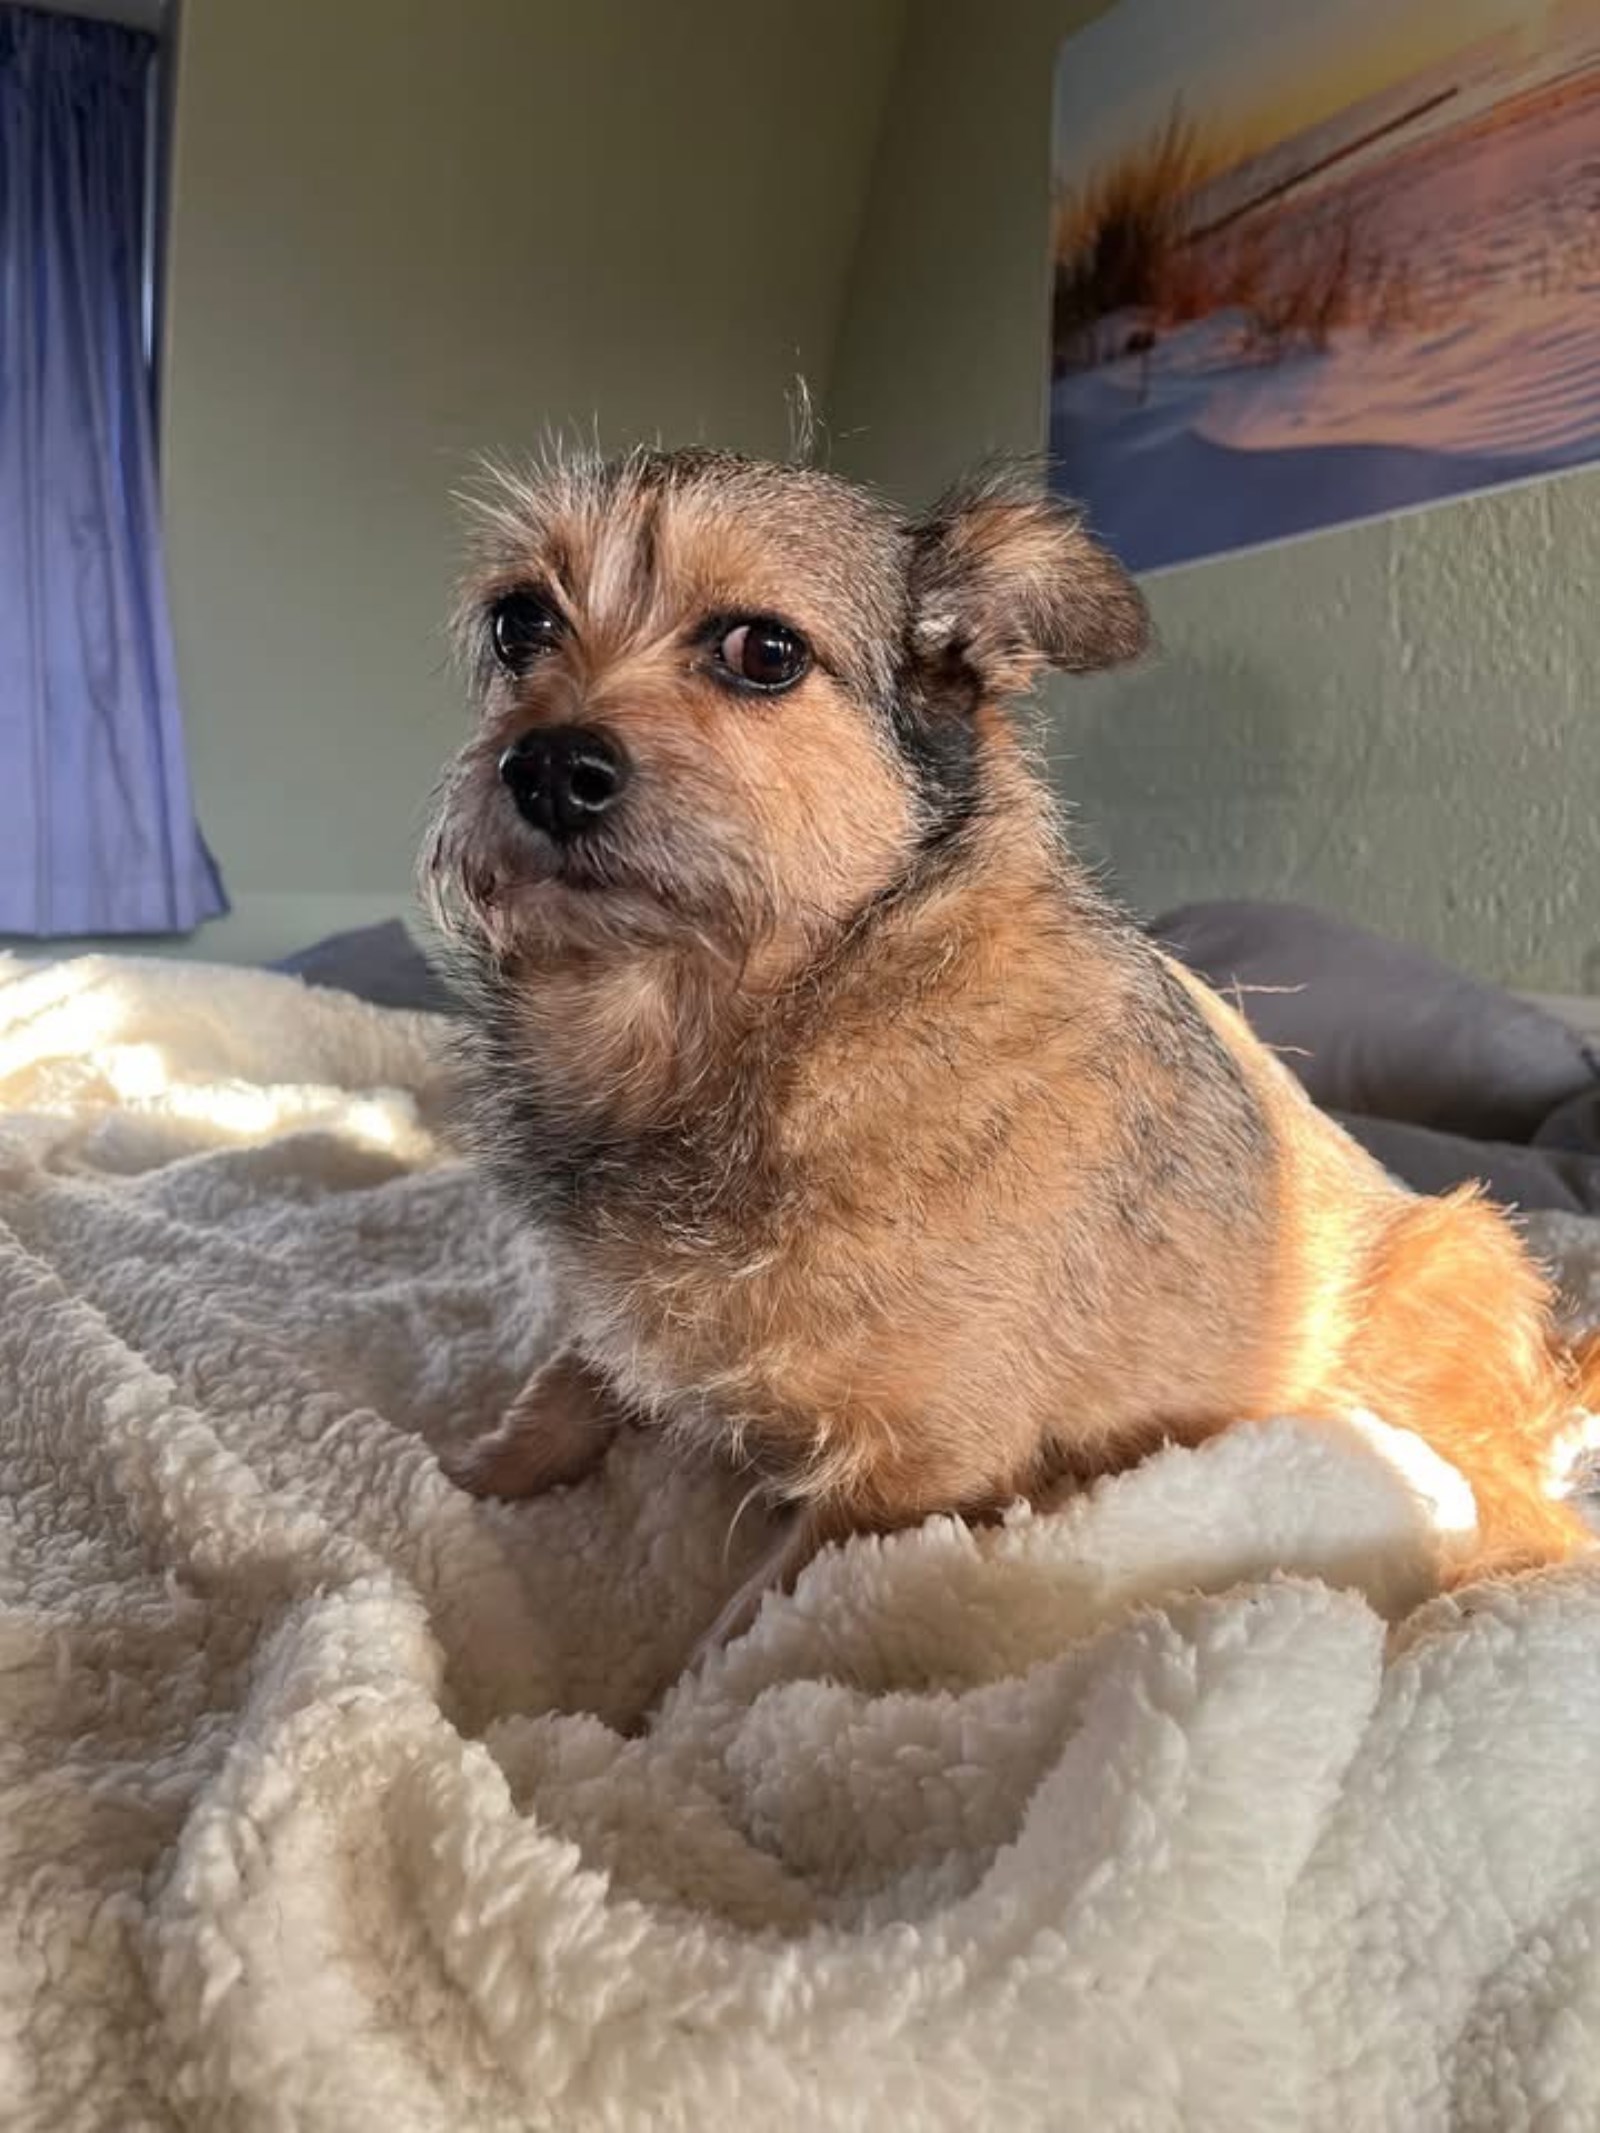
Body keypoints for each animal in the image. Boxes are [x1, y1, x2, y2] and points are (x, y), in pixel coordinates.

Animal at [422, 444, 1596, 1648]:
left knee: (1536, 1523)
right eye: (521, 623)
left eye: (763, 651)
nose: (545, 767)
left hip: (1440, 1289)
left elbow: (738, 1641)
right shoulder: (614, 1326)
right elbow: (554, 1396)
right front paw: (450, 1481)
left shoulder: (907, 1473)